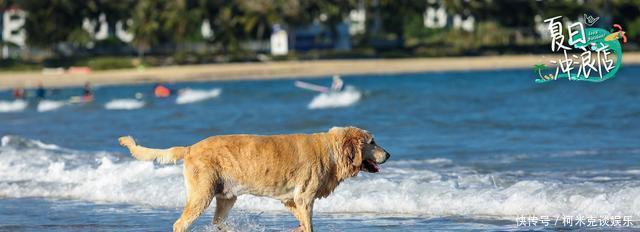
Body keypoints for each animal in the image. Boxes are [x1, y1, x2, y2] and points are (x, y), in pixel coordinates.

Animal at [119, 127, 390, 232]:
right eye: (372, 141)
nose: (389, 154)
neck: (332, 152)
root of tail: (190, 148)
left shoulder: (292, 200)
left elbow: (303, 223)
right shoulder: (304, 197)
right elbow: (309, 223)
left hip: (226, 197)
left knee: (218, 222)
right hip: (201, 194)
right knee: (180, 224)